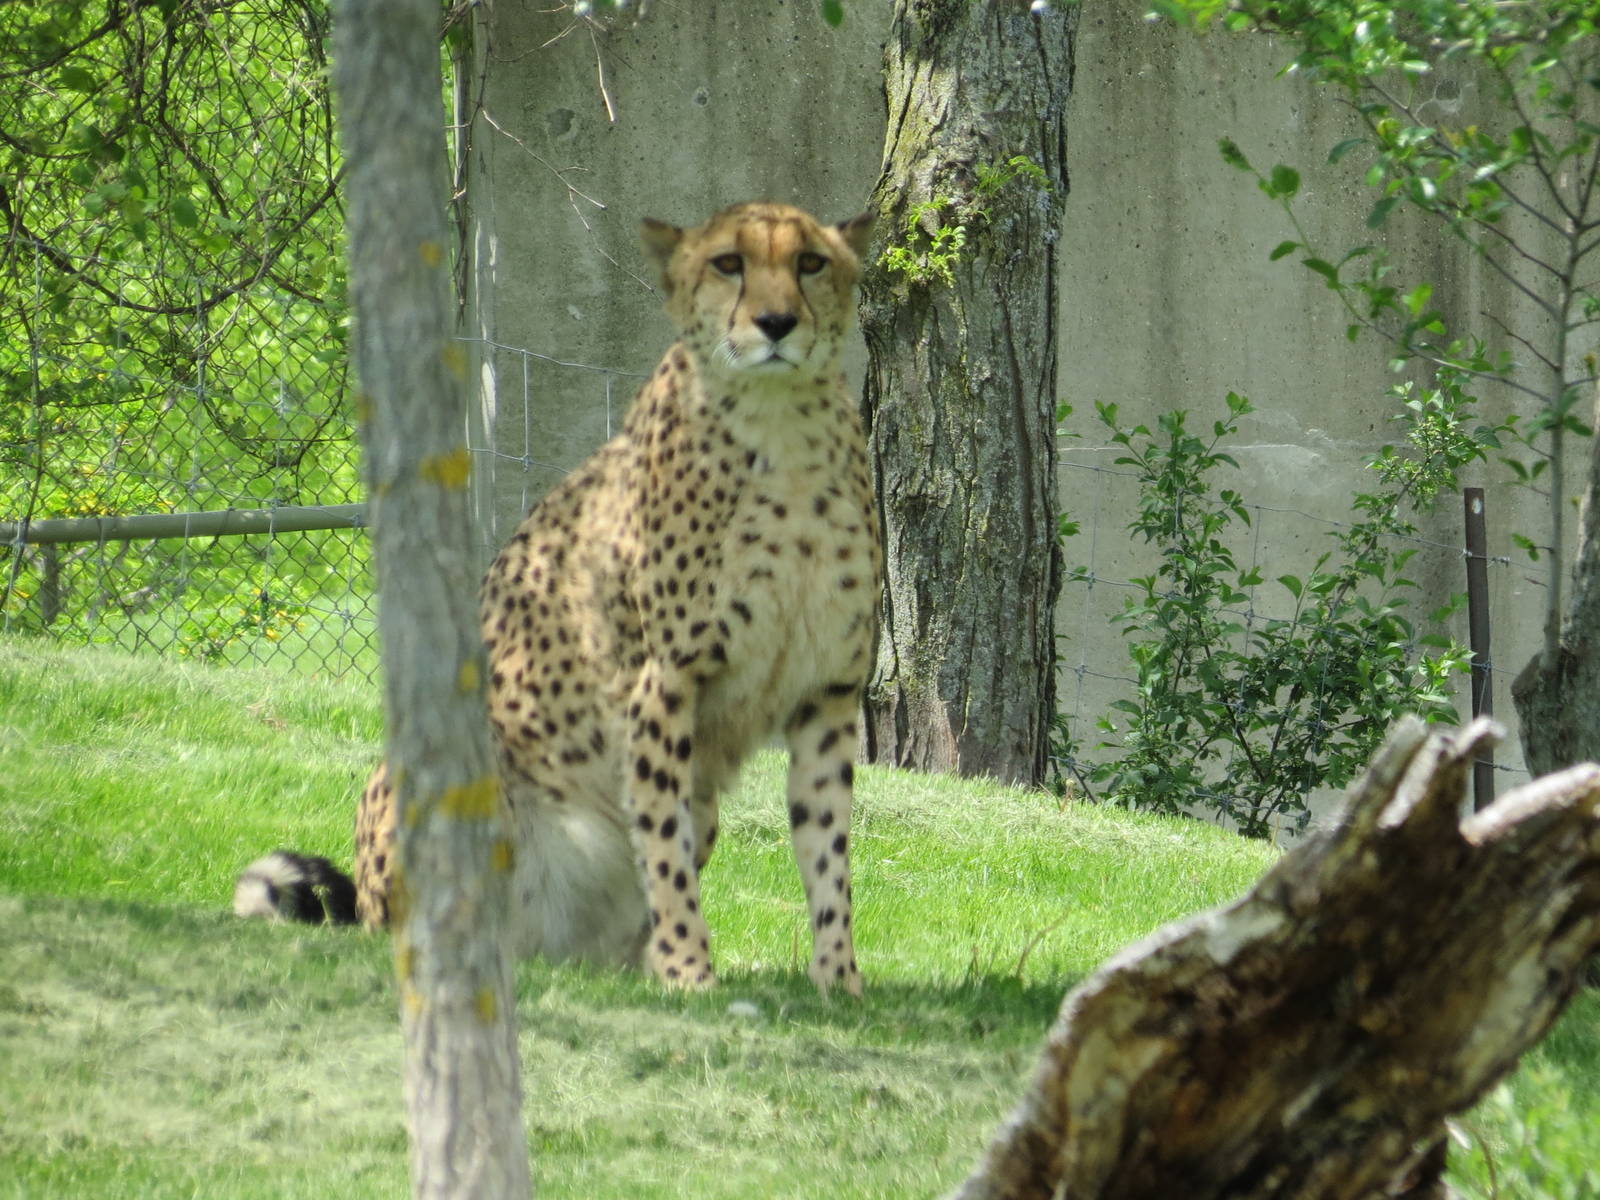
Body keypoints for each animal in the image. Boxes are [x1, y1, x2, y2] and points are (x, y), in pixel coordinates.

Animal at [241, 202, 881, 996]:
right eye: (728, 263)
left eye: (811, 263)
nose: (776, 323)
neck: (782, 426)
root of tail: (545, 952)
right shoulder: (663, 682)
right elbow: (664, 848)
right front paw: (689, 973)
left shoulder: (829, 693)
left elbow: (828, 851)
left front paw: (838, 981)